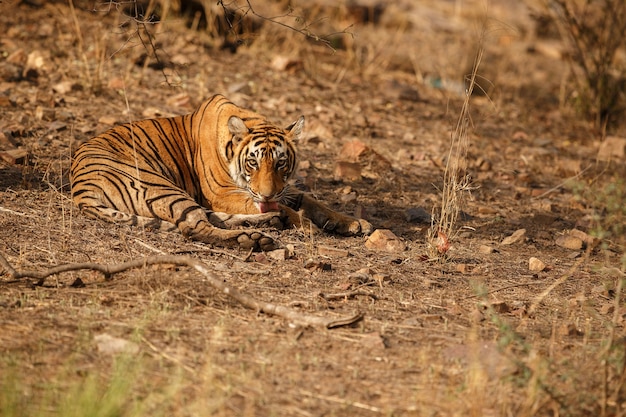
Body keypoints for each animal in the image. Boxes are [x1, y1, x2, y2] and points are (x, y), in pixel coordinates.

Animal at [69, 94, 370, 250]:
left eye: (280, 163)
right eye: (253, 163)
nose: (266, 194)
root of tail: (81, 190)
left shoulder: (280, 190)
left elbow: (310, 200)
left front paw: (353, 222)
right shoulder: (223, 193)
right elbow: (287, 207)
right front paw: (308, 226)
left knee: (213, 219)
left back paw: (266, 224)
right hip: (160, 186)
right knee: (194, 227)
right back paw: (254, 239)